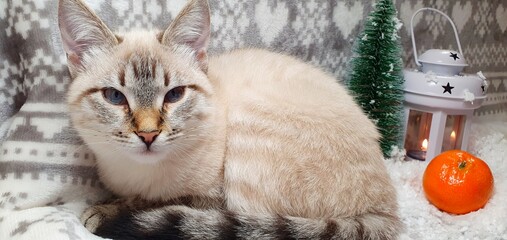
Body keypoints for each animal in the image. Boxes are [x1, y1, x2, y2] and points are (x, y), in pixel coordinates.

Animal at [58, 0, 400, 238]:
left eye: (174, 95)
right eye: (114, 97)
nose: (148, 134)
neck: (139, 175)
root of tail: (388, 210)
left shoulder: (213, 202)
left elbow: (154, 203)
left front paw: (102, 213)